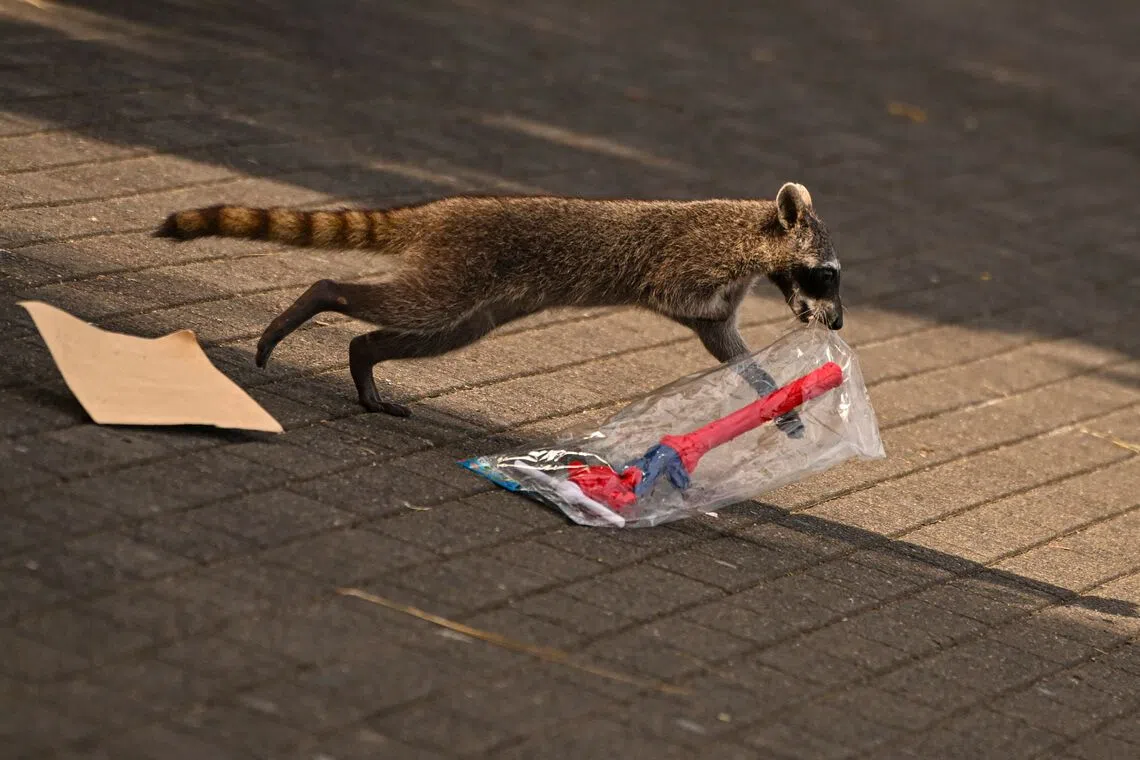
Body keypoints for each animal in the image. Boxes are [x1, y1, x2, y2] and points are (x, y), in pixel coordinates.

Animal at [156, 183, 843, 429]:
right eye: (827, 276)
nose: (836, 320)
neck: (757, 233)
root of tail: (440, 212)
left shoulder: (724, 298)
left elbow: (719, 338)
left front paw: (768, 387)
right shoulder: (694, 259)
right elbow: (673, 293)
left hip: (473, 300)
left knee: (428, 333)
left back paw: (363, 360)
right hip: (458, 271)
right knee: (411, 306)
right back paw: (324, 297)